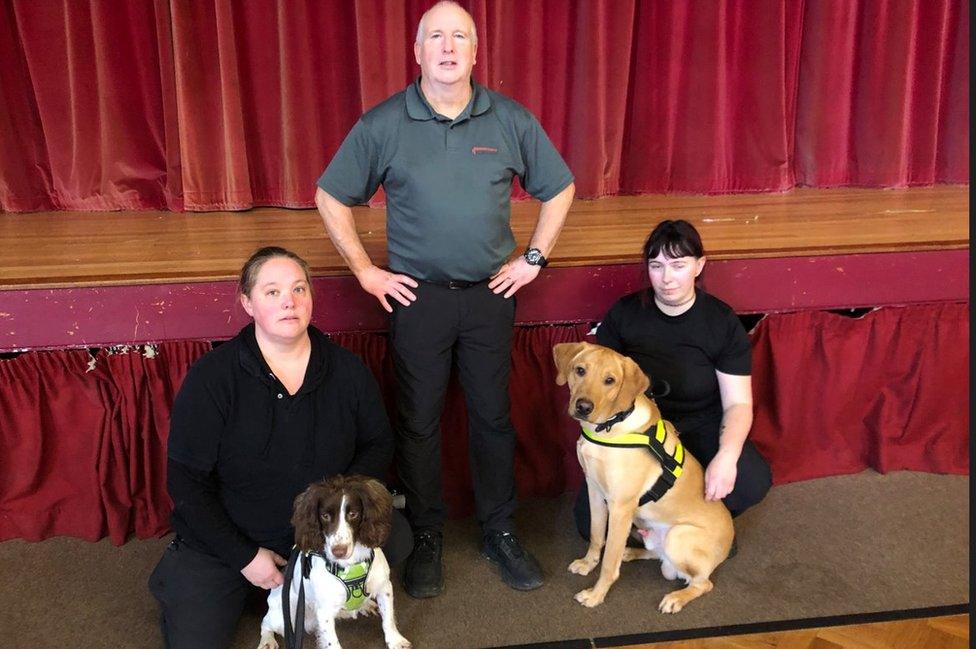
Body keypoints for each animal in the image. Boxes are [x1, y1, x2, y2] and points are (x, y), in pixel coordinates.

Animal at [258, 474, 410, 648]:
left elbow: (388, 619)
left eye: (353, 514)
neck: (350, 565)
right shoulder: (324, 611)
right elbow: (332, 643)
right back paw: (267, 641)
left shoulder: (385, 587)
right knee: (266, 623)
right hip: (284, 616)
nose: (338, 551)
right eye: (325, 516)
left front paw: (396, 641)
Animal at [556, 342, 732, 612]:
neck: (608, 428)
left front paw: (596, 595)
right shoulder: (594, 491)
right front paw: (588, 563)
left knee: (703, 583)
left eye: (610, 380)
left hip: (678, 536)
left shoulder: (620, 507)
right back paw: (630, 552)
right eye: (580, 370)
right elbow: (596, 536)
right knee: (656, 553)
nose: (583, 407)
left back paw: (675, 598)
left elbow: (609, 563)